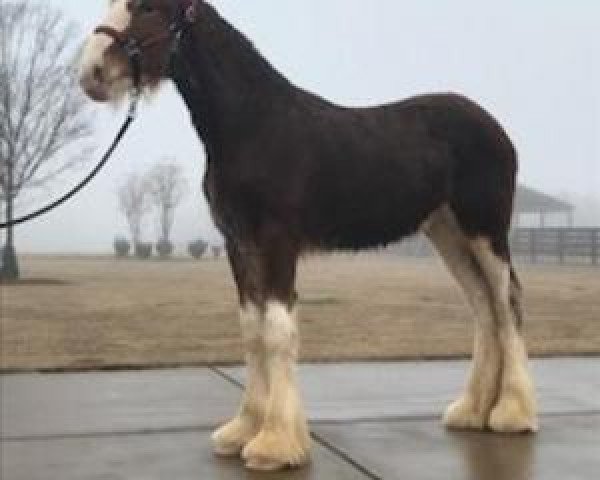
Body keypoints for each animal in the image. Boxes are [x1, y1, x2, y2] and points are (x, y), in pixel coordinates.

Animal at [81, 0, 540, 472]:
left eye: (148, 8)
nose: (91, 72)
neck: (254, 126)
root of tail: (493, 127)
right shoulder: (238, 243)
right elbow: (252, 329)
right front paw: (242, 430)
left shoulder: (277, 241)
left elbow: (278, 330)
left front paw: (275, 445)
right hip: (446, 232)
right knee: (483, 306)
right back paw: (471, 411)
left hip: (485, 232)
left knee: (507, 302)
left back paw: (512, 414)